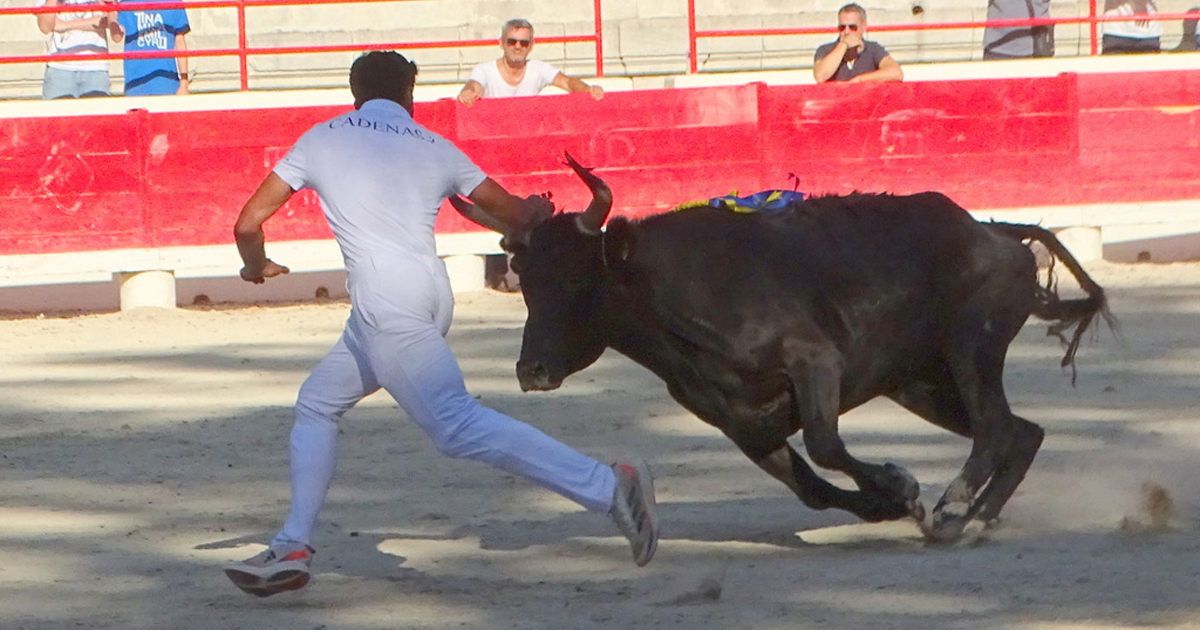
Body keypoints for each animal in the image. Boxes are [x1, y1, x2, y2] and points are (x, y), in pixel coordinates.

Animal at [453, 154, 1108, 537]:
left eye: (577, 280)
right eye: (526, 281)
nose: (531, 370)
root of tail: (995, 232)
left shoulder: (815, 362)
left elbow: (824, 445)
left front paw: (901, 485)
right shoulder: (741, 424)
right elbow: (813, 489)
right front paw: (891, 502)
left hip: (972, 348)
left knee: (996, 428)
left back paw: (953, 508)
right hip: (919, 383)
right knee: (1023, 432)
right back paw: (974, 518)